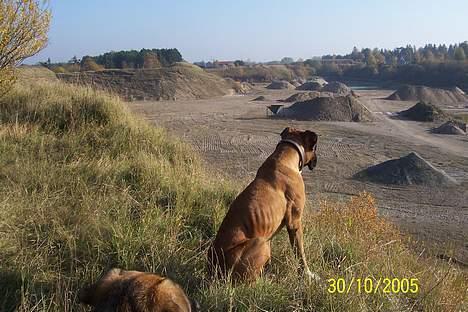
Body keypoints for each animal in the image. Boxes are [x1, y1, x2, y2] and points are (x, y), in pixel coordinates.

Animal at [208, 127, 318, 282]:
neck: (287, 155)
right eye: (315, 147)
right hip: (260, 242)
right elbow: (300, 252)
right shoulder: (294, 223)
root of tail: (217, 268)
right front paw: (307, 274)